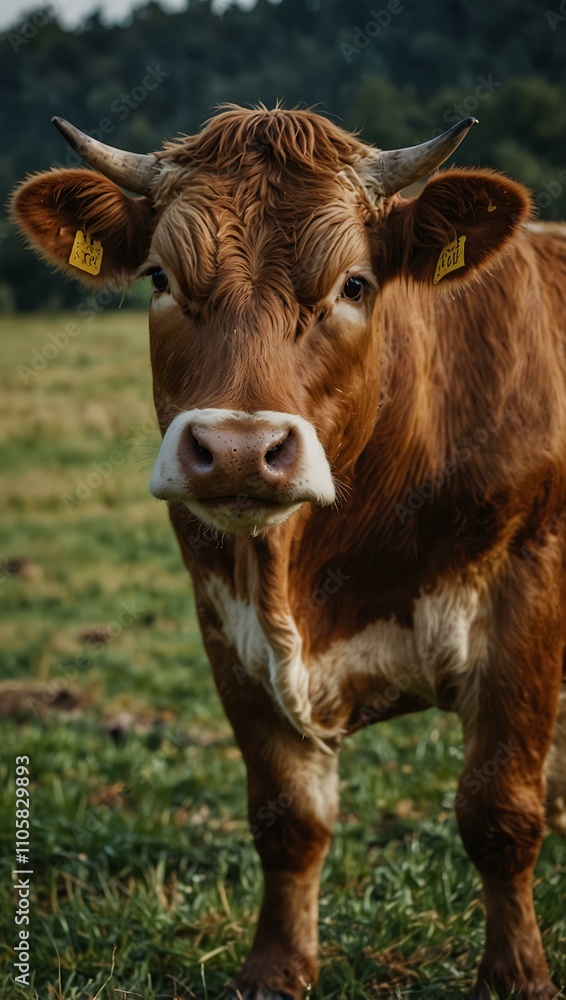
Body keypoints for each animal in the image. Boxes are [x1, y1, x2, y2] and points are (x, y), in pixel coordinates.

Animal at [11, 105, 566, 999]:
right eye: (160, 279)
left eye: (355, 285)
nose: (240, 451)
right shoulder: (226, 623)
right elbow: (288, 815)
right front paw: (275, 970)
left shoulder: (527, 593)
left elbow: (499, 811)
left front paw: (517, 976)